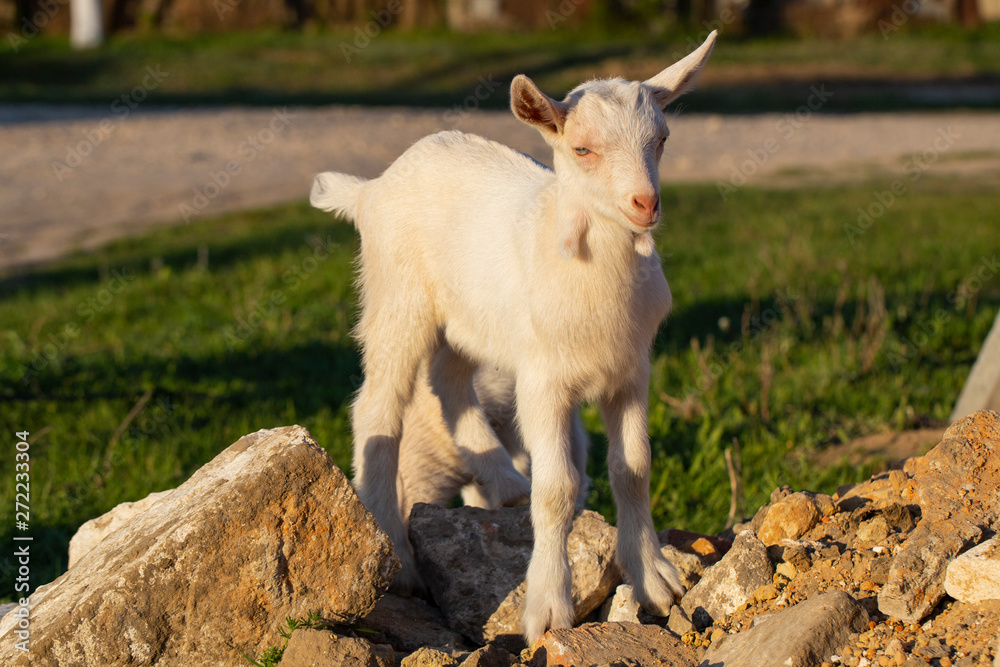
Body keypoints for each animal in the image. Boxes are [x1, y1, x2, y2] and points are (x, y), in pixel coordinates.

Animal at [310, 31, 717, 641]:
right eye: (582, 149)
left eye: (663, 139)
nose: (646, 204)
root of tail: (371, 189)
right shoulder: (542, 379)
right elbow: (557, 488)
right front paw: (548, 607)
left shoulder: (631, 370)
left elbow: (633, 468)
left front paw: (654, 577)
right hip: (396, 296)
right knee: (379, 408)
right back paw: (400, 563)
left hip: (464, 318)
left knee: (448, 382)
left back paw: (503, 483)